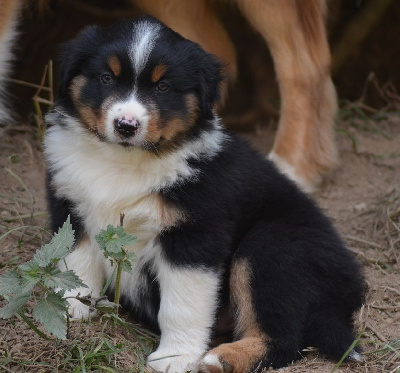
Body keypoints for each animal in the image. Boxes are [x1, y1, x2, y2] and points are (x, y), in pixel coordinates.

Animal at [44, 17, 366, 372]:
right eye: (105, 78)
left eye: (163, 87)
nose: (126, 125)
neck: (125, 161)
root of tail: (349, 287)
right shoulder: (72, 204)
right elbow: (76, 262)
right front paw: (71, 308)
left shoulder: (194, 235)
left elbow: (181, 305)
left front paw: (174, 357)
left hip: (274, 250)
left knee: (285, 341)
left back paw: (221, 358)